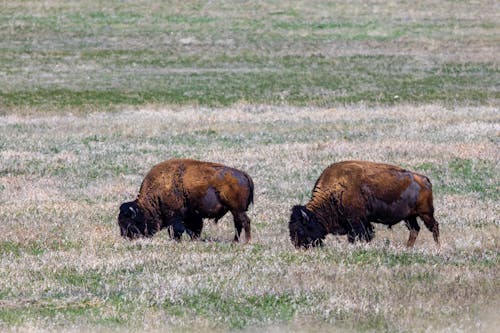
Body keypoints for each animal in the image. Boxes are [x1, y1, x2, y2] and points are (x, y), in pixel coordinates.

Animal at [118, 158, 254, 241]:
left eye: (129, 222)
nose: (125, 236)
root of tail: (243, 174)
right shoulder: (193, 216)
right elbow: (194, 229)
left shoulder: (174, 216)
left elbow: (176, 230)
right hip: (235, 211)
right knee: (238, 223)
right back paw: (235, 241)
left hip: (237, 209)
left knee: (244, 222)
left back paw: (246, 241)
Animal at [288, 160, 440, 248]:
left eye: (300, 229)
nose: (299, 246)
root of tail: (424, 179)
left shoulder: (356, 222)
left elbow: (360, 236)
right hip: (409, 217)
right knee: (415, 230)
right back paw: (408, 248)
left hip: (425, 213)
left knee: (434, 227)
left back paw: (437, 247)